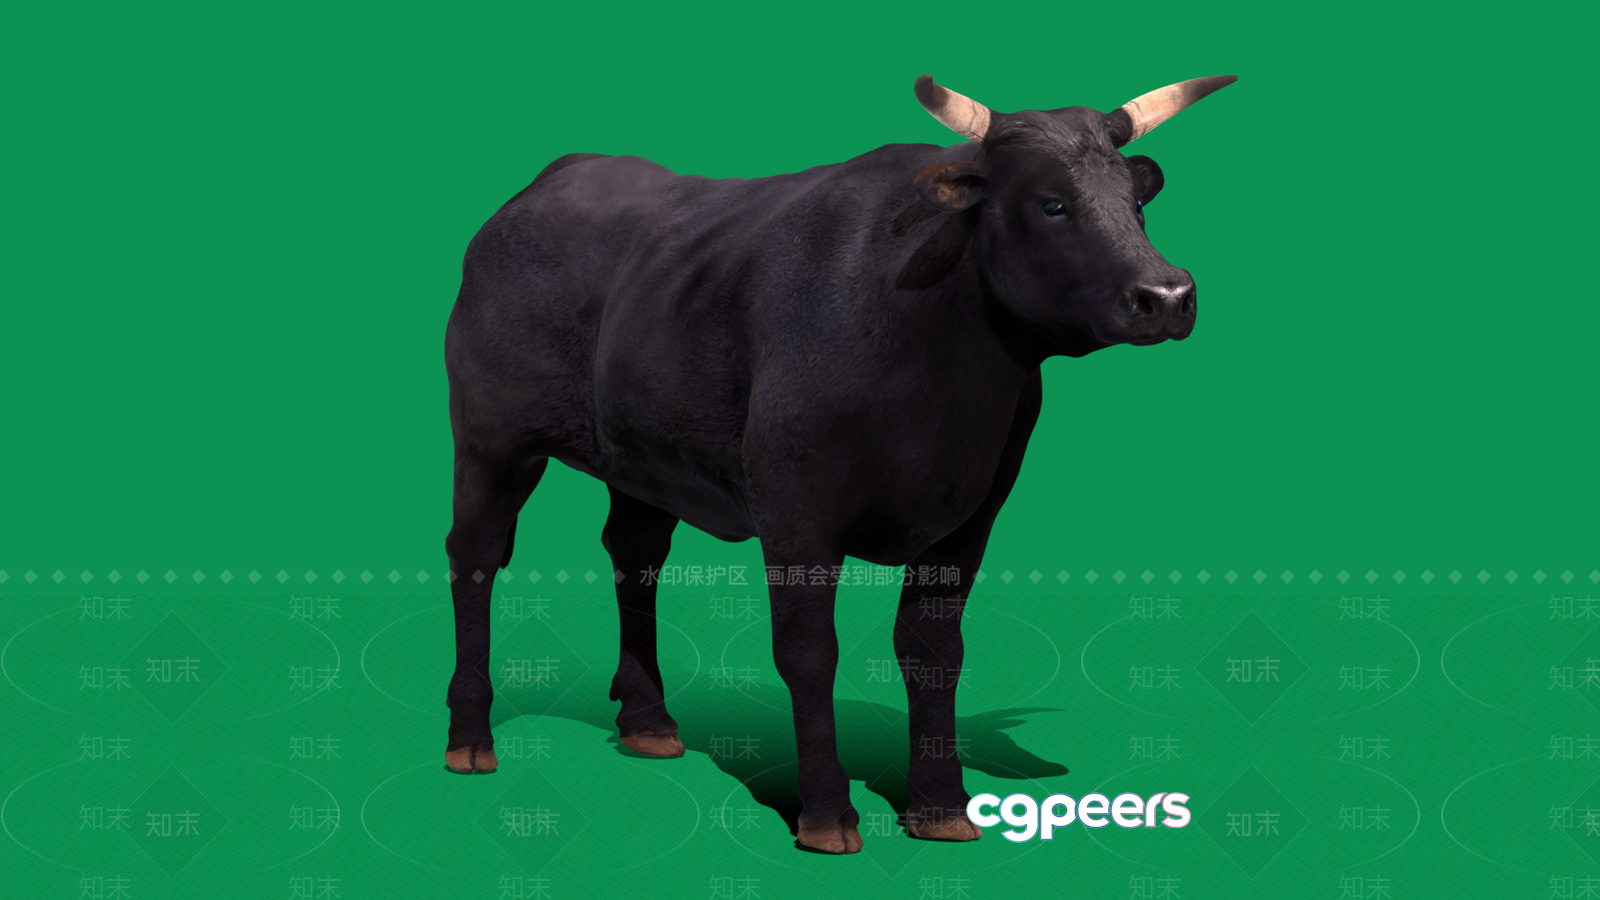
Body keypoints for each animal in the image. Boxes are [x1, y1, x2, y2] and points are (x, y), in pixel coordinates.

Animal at [442, 73, 1235, 853]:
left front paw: (942, 809)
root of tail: (559, 175)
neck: (944, 383)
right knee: (475, 556)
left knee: (634, 554)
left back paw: (648, 725)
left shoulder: (972, 514)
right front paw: (826, 814)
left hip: (640, 461)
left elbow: (933, 649)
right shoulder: (796, 509)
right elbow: (807, 650)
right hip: (489, 441)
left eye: (1137, 204)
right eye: (1051, 203)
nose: (1167, 294)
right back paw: (470, 740)